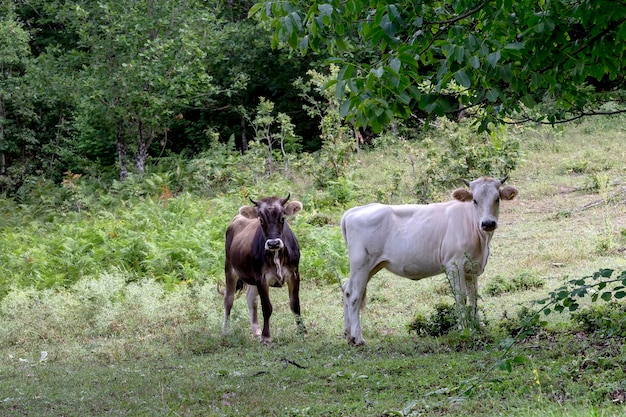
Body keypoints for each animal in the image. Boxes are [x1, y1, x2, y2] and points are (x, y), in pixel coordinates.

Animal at [222, 193, 304, 342]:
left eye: (282, 217)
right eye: (261, 220)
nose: (273, 243)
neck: (277, 255)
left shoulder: (294, 274)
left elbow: (295, 304)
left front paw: (302, 332)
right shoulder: (261, 277)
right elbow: (266, 307)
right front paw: (266, 337)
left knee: (251, 299)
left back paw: (256, 330)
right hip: (230, 268)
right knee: (228, 299)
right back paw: (226, 330)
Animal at [338, 176, 516, 344]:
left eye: (497, 199)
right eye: (475, 200)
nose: (488, 223)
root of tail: (355, 210)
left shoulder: (472, 268)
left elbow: (473, 298)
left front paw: (478, 326)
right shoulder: (454, 265)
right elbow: (460, 297)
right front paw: (464, 329)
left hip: (371, 266)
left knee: (347, 289)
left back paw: (348, 334)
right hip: (361, 263)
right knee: (354, 295)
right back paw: (358, 338)